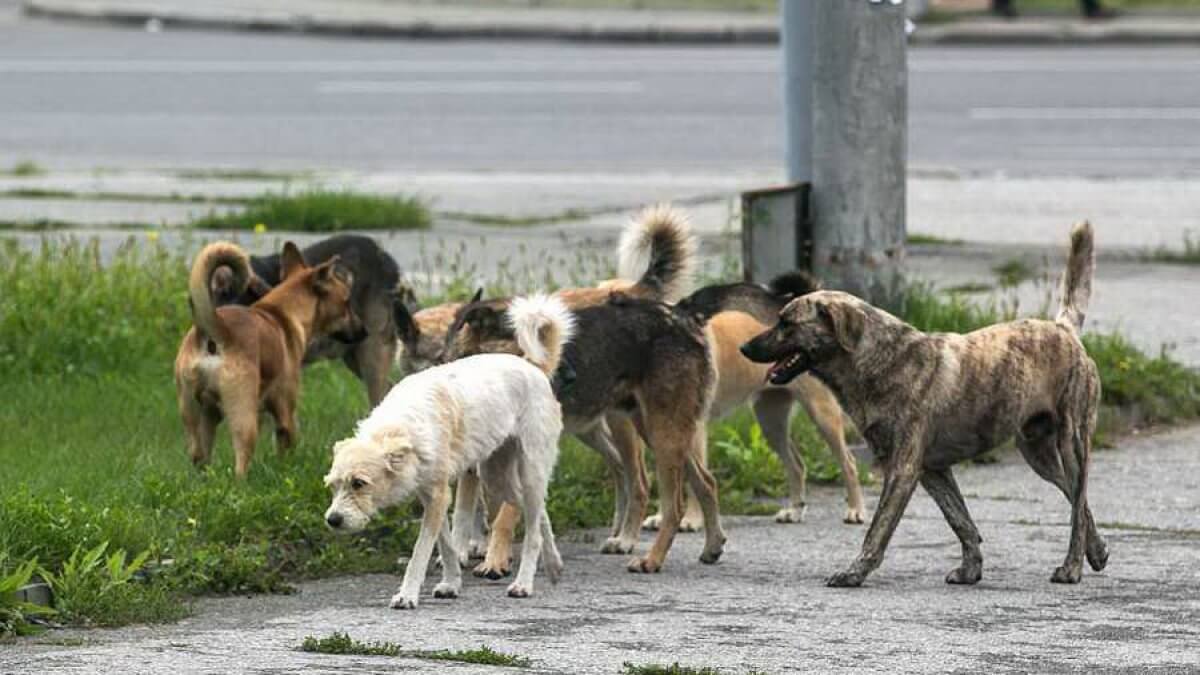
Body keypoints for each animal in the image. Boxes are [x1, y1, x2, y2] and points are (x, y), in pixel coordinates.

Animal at [174, 239, 360, 475]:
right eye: (347, 303)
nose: (364, 331)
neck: (282, 312)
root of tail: (215, 331)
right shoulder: (285, 414)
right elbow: (286, 447)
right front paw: (286, 471)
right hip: (243, 416)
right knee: (240, 462)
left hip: (195, 414)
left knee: (199, 455)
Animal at [643, 271, 868, 526]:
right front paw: (662, 517)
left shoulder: (695, 430)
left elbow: (694, 482)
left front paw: (691, 519)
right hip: (771, 422)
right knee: (797, 465)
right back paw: (794, 510)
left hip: (822, 416)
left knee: (848, 463)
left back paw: (855, 509)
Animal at [739, 223, 1104, 586]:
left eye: (786, 323)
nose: (744, 347)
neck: (880, 360)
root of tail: (1063, 328)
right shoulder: (932, 470)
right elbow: (961, 520)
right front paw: (971, 568)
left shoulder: (902, 469)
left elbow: (878, 529)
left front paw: (855, 571)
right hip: (1038, 454)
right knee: (1078, 500)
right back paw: (1096, 550)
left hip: (1072, 443)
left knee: (1077, 502)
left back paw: (1072, 567)